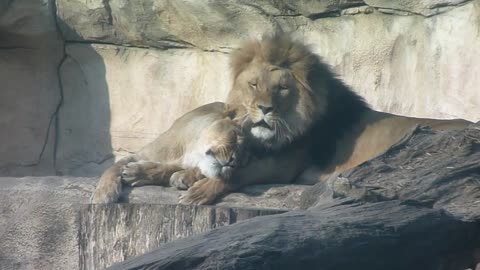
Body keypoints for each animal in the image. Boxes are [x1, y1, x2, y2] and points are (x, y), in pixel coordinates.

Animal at [91, 102, 248, 204]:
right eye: (234, 137)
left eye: (243, 158)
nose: (234, 161)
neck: (192, 151)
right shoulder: (138, 155)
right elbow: (111, 169)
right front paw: (103, 194)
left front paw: (137, 172)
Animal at [177, 32, 472, 205]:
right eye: (253, 84)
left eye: (282, 88)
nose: (264, 109)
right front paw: (186, 175)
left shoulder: (286, 167)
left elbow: (242, 173)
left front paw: (200, 191)